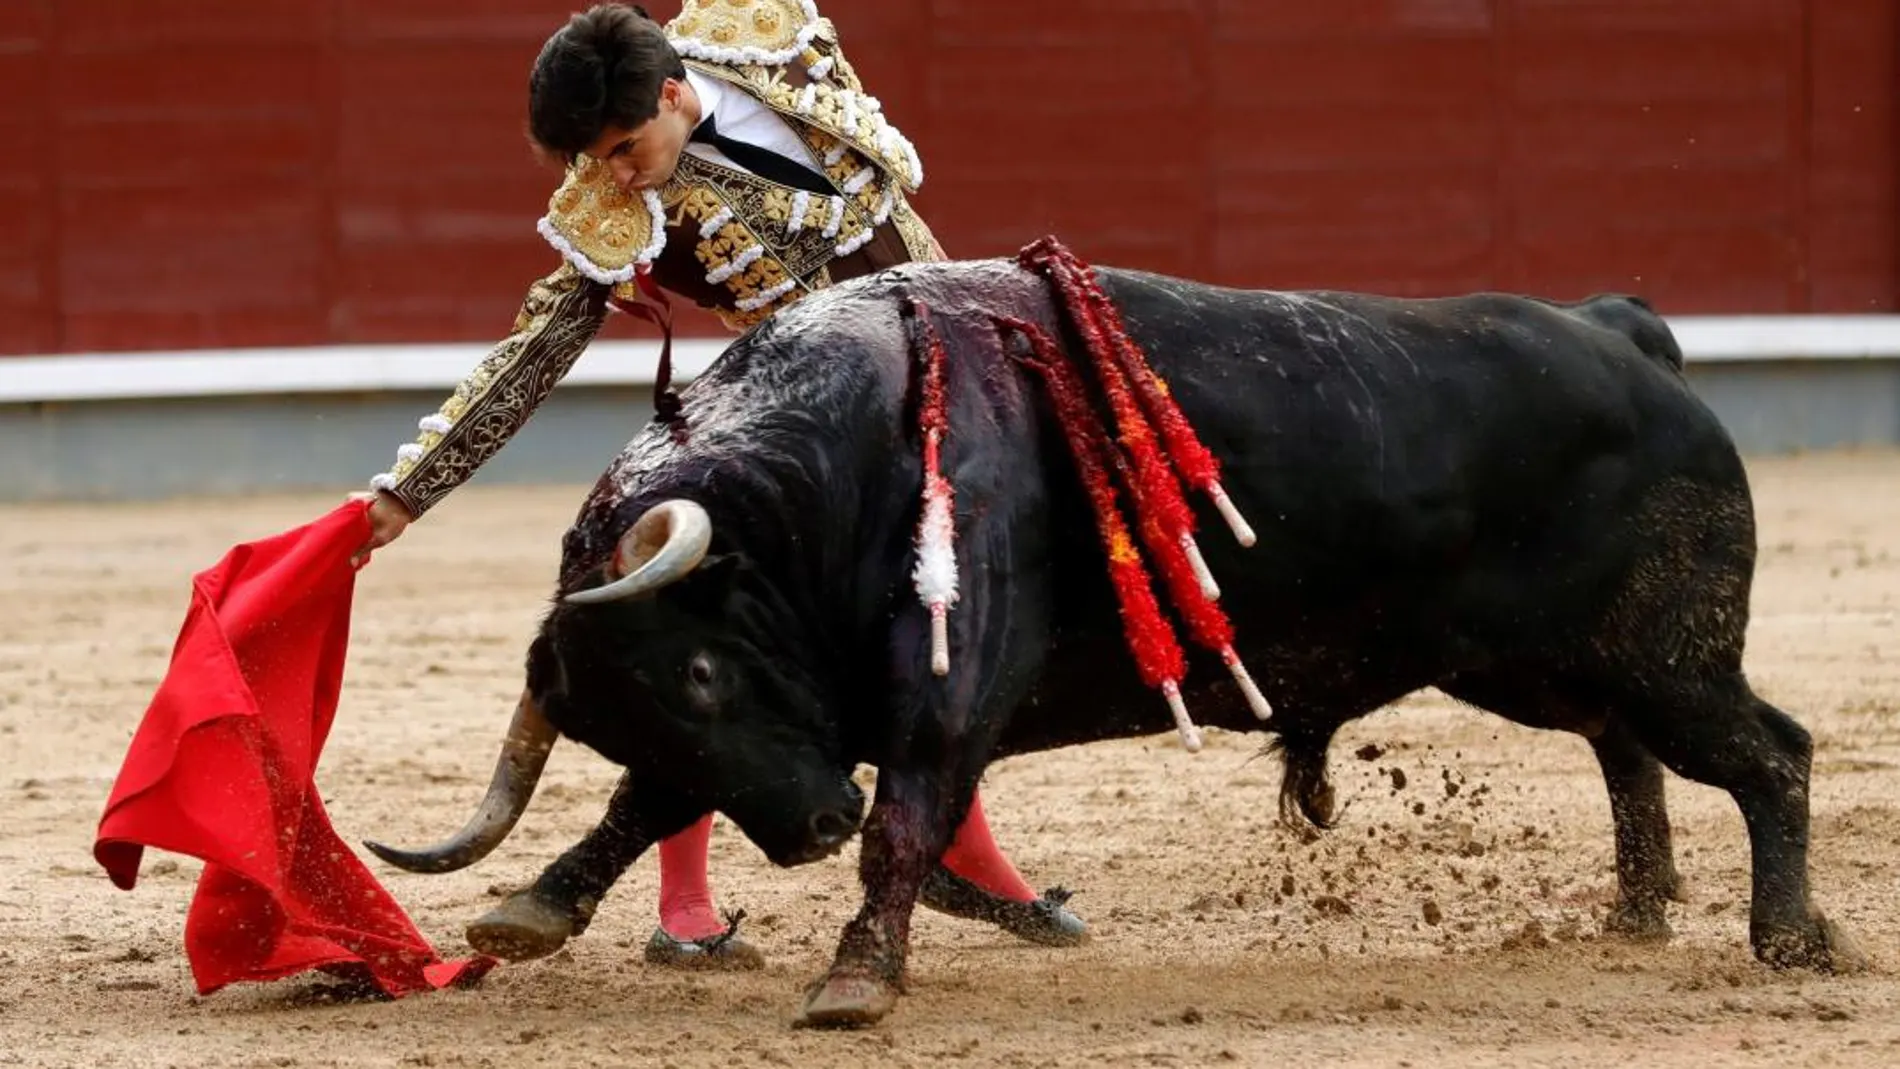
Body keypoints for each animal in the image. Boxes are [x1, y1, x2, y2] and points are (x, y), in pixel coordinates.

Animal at [362, 252, 1862, 1025]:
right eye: (637, 699)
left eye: (700, 665)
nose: (807, 829)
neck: (823, 481)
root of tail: (1626, 334)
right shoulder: (786, 726)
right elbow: (643, 803)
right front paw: (529, 907)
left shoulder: (941, 694)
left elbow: (910, 815)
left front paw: (856, 978)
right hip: (1547, 663)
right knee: (1630, 753)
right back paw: (1639, 908)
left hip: (1664, 649)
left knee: (1770, 752)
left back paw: (1790, 941)